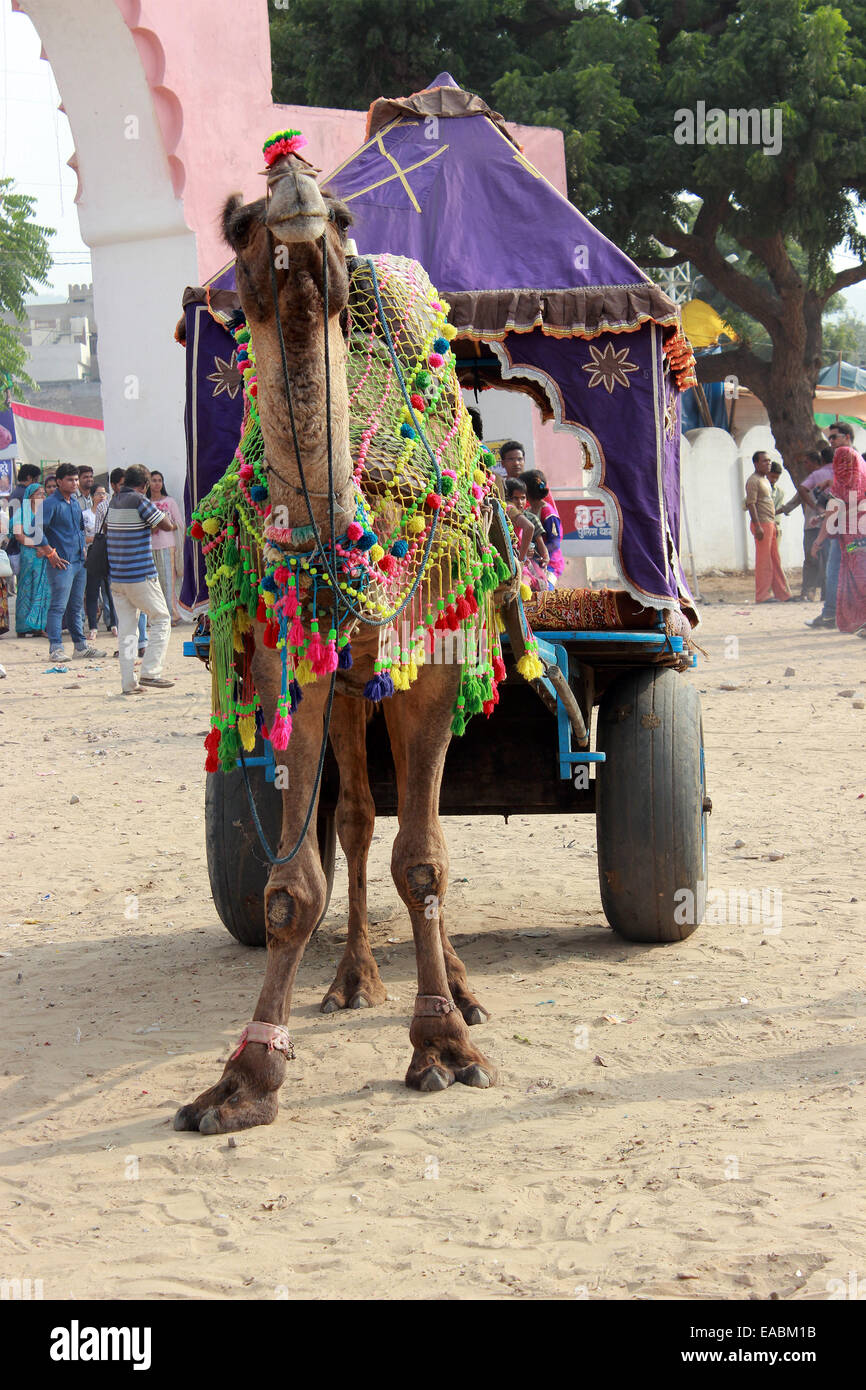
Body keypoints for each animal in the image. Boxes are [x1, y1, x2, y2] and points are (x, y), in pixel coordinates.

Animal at [175, 144, 508, 1134]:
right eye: (239, 220)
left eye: (346, 215)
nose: (296, 188)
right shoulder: (295, 664)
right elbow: (290, 890)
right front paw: (245, 1079)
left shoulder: (432, 663)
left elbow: (427, 863)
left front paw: (445, 1046)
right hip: (356, 684)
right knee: (358, 817)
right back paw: (353, 979)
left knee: (413, 836)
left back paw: (461, 987)